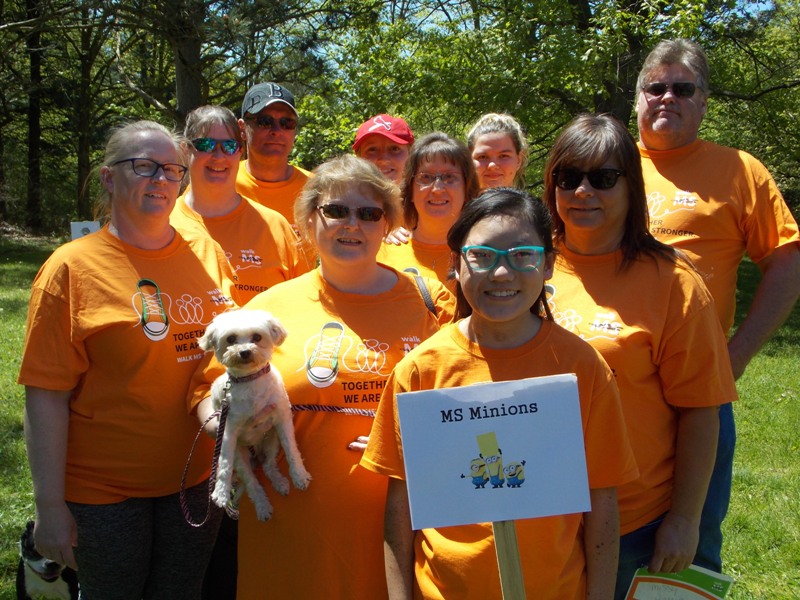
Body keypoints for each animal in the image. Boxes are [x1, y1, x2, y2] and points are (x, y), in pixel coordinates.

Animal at [199, 309, 311, 521]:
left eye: (257, 337)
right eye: (231, 338)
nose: (244, 351)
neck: (250, 381)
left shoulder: (282, 419)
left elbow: (291, 449)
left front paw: (299, 474)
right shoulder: (228, 430)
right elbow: (224, 463)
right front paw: (220, 491)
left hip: (271, 439)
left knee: (268, 466)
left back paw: (280, 482)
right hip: (241, 457)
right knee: (252, 484)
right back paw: (262, 505)